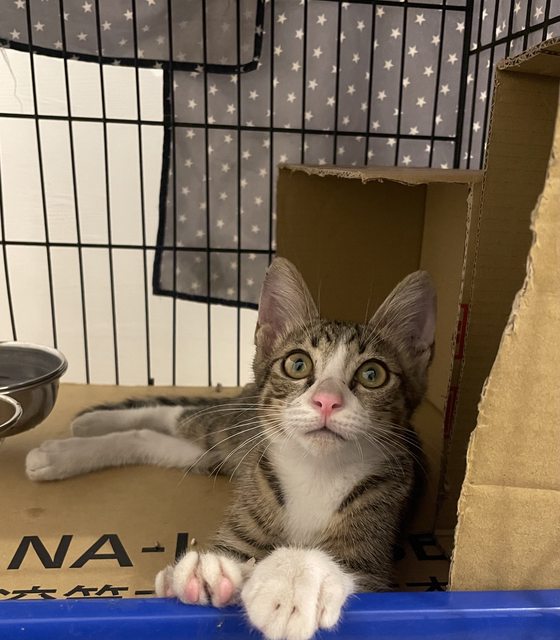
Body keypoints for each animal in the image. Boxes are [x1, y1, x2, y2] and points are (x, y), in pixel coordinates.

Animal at [25, 257, 436, 640]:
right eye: (298, 364)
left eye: (372, 374)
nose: (327, 401)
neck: (317, 471)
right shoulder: (248, 510)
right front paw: (207, 573)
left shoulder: (377, 545)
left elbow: (355, 573)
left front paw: (296, 579)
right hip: (233, 431)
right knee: (180, 416)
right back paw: (79, 435)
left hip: (219, 455)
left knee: (160, 442)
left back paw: (74, 442)